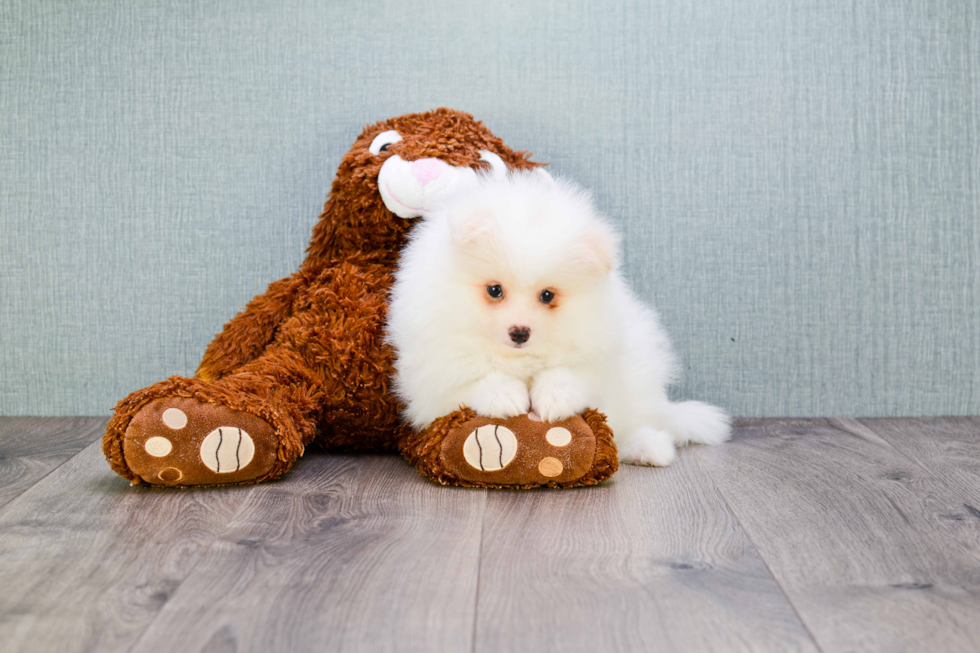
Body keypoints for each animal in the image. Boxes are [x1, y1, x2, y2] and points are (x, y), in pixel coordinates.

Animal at [386, 169, 732, 464]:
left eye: (547, 296)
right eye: (495, 290)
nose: (520, 332)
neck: (520, 359)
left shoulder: (597, 353)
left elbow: (570, 374)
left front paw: (554, 399)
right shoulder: (434, 375)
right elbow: (474, 379)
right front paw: (506, 396)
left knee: (630, 425)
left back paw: (649, 447)